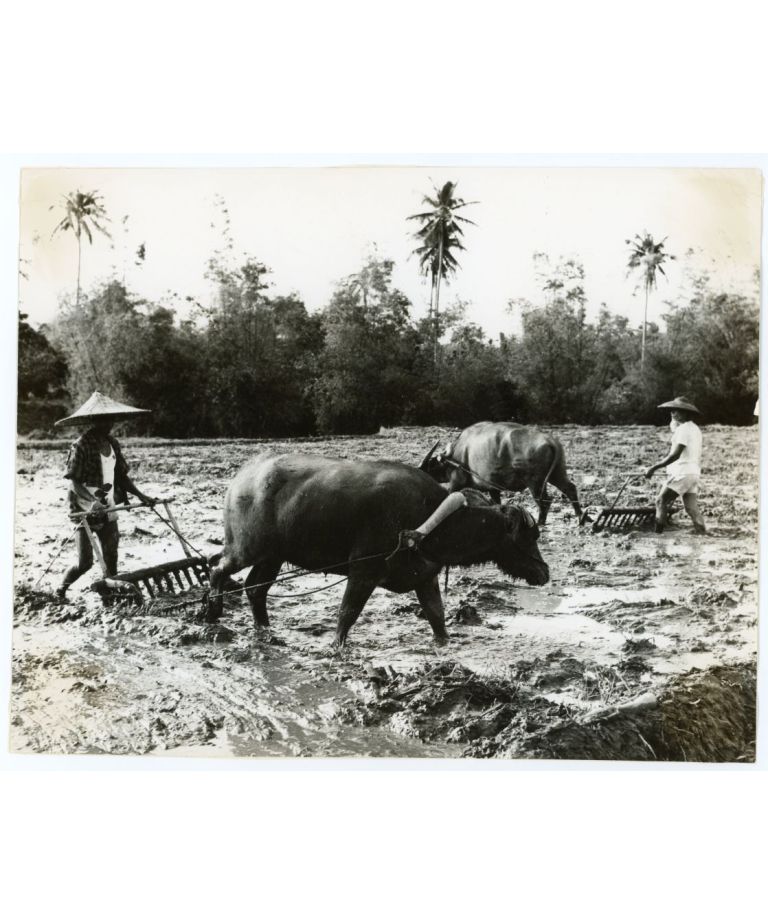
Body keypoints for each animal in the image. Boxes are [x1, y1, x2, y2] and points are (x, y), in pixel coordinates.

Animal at [208, 453, 550, 646]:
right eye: (528, 535)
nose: (545, 572)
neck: (427, 521)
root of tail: (243, 478)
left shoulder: (425, 577)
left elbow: (436, 616)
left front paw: (444, 643)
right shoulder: (363, 571)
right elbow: (347, 614)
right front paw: (337, 647)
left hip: (274, 556)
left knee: (255, 589)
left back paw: (265, 631)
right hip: (246, 547)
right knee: (216, 567)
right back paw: (211, 614)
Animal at [420, 421, 587, 526]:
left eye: (427, 465)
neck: (455, 456)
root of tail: (550, 441)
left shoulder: (456, 481)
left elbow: (449, 495)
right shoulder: (493, 489)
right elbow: (496, 503)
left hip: (535, 482)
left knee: (544, 500)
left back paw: (541, 522)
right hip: (557, 473)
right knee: (570, 489)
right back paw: (581, 517)